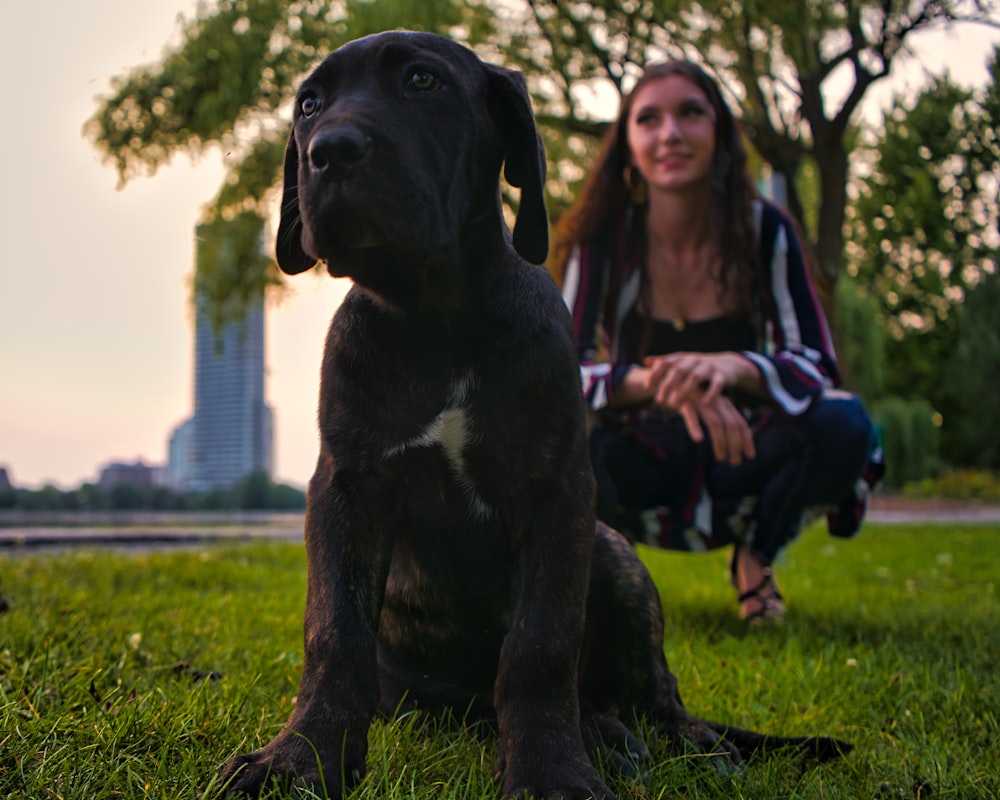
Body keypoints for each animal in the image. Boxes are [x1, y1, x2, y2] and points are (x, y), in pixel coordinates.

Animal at [221, 31, 852, 800]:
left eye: (422, 81)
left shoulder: (558, 494)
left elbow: (539, 644)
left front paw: (550, 770)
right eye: (309, 104)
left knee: (650, 696)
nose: (330, 150)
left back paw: (663, 742)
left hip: (613, 555)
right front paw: (300, 760)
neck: (433, 317)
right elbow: (334, 632)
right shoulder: (347, 487)